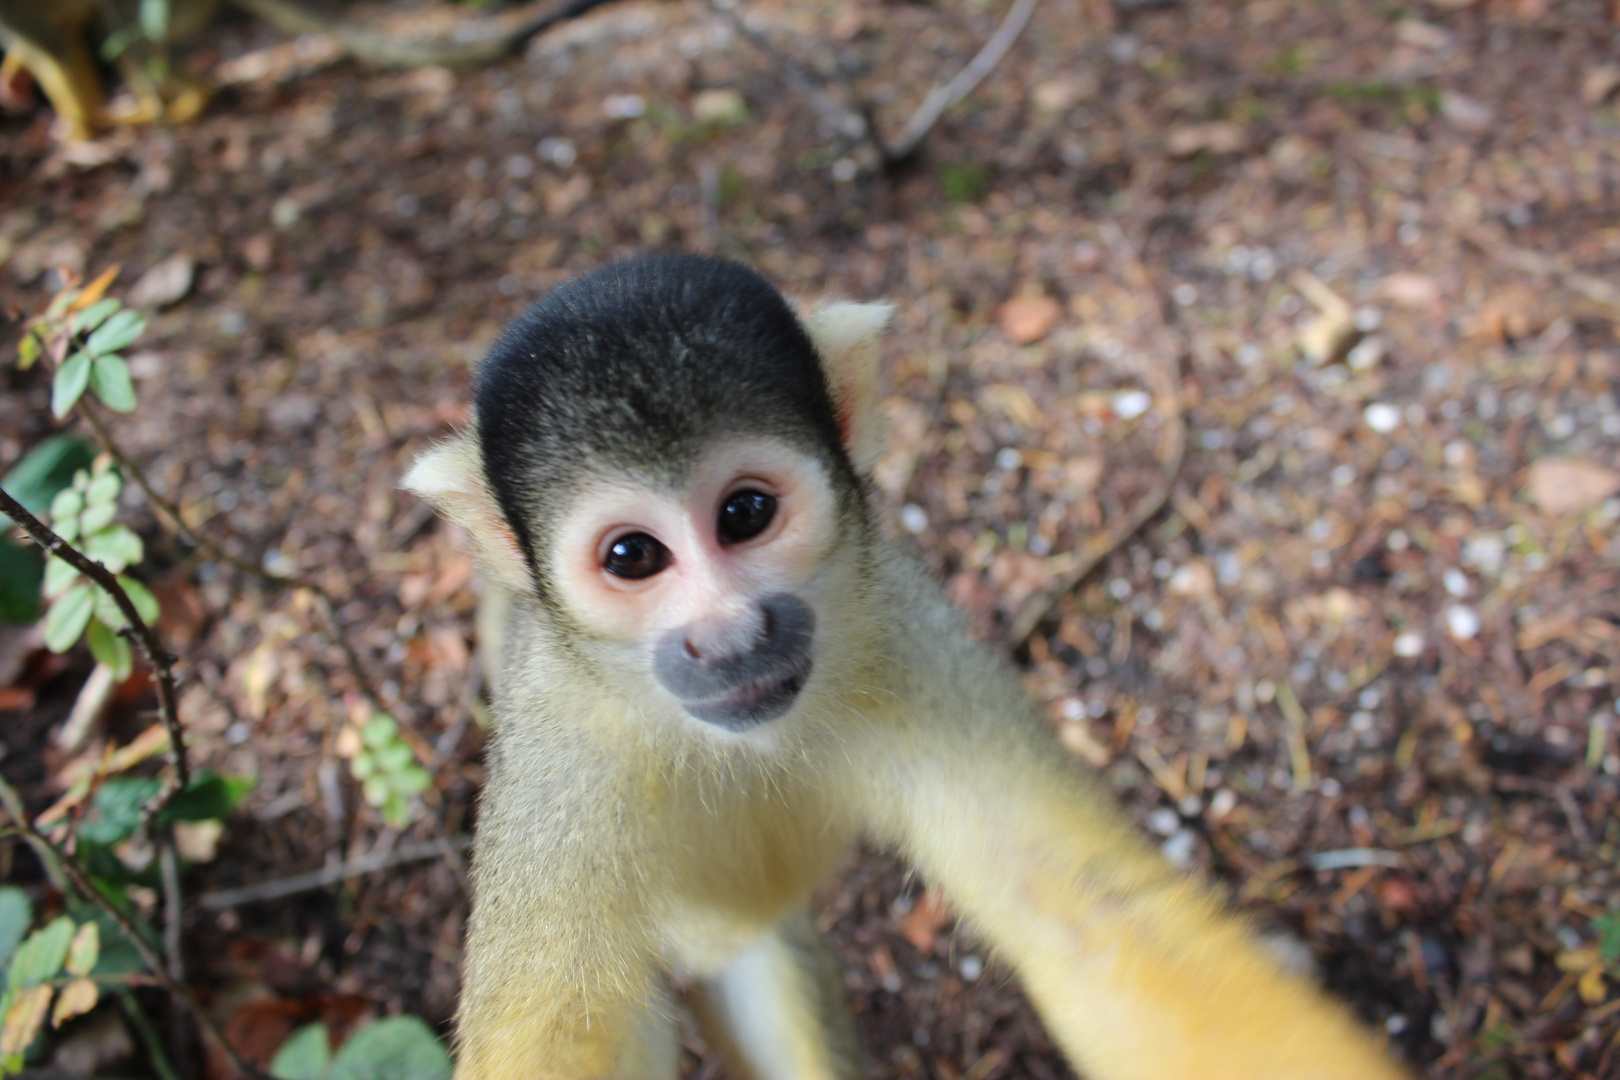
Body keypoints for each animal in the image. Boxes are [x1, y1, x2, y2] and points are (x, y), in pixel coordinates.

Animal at [401, 257, 1406, 1080]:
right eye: (632, 558)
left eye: (745, 513)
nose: (726, 636)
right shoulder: (559, 751)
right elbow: (561, 1036)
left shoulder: (907, 636)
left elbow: (1085, 919)